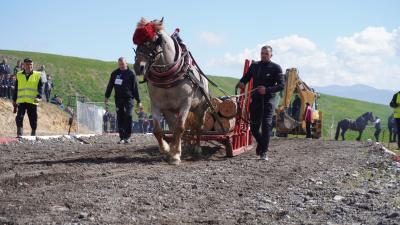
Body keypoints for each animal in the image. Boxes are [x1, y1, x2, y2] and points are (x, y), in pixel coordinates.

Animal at [134, 17, 209, 164]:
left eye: (154, 40)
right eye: (137, 41)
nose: (138, 67)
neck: (167, 79)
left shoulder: (185, 103)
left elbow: (180, 128)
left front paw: (175, 155)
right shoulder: (157, 105)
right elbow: (157, 130)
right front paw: (167, 150)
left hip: (199, 109)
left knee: (198, 127)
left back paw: (197, 148)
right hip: (170, 111)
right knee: (174, 126)